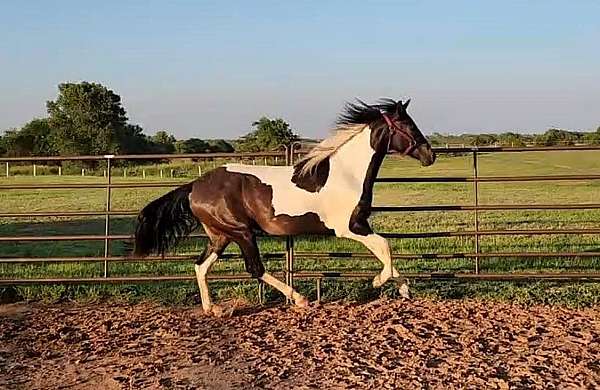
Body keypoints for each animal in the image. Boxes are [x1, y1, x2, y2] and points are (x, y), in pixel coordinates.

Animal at [135, 97, 436, 314]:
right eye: (409, 126)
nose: (429, 155)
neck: (346, 173)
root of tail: (194, 186)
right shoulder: (350, 227)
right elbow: (385, 247)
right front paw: (378, 282)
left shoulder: (360, 225)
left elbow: (384, 251)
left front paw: (404, 289)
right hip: (241, 232)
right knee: (255, 269)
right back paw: (300, 299)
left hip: (220, 235)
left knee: (201, 266)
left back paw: (214, 309)